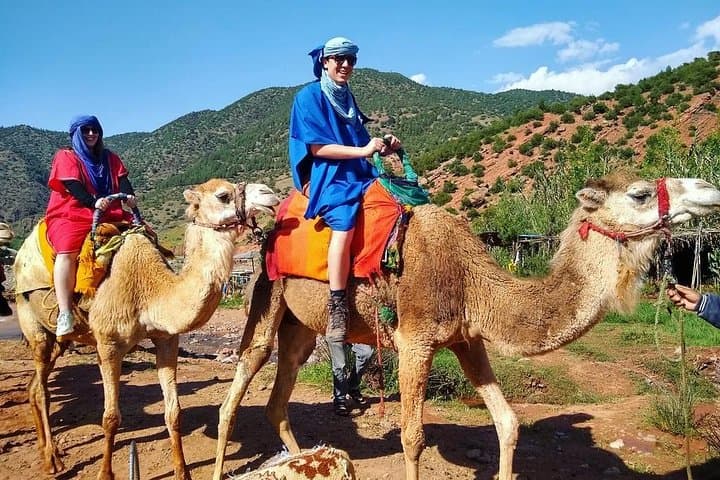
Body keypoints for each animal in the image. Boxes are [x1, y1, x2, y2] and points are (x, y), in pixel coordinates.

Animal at [13, 179, 279, 480]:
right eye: (223, 195)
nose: (269, 194)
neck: (148, 291)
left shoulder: (166, 339)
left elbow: (173, 413)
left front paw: (182, 472)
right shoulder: (108, 344)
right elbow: (110, 417)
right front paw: (105, 474)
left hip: (59, 341)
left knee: (35, 386)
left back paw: (49, 452)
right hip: (31, 321)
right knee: (42, 388)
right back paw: (52, 460)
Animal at [212, 172, 720, 480]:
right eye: (639, 193)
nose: (708, 188)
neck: (473, 280)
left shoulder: (466, 340)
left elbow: (508, 422)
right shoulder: (414, 339)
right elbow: (412, 437)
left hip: (300, 325)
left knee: (280, 393)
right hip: (266, 293)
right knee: (243, 377)